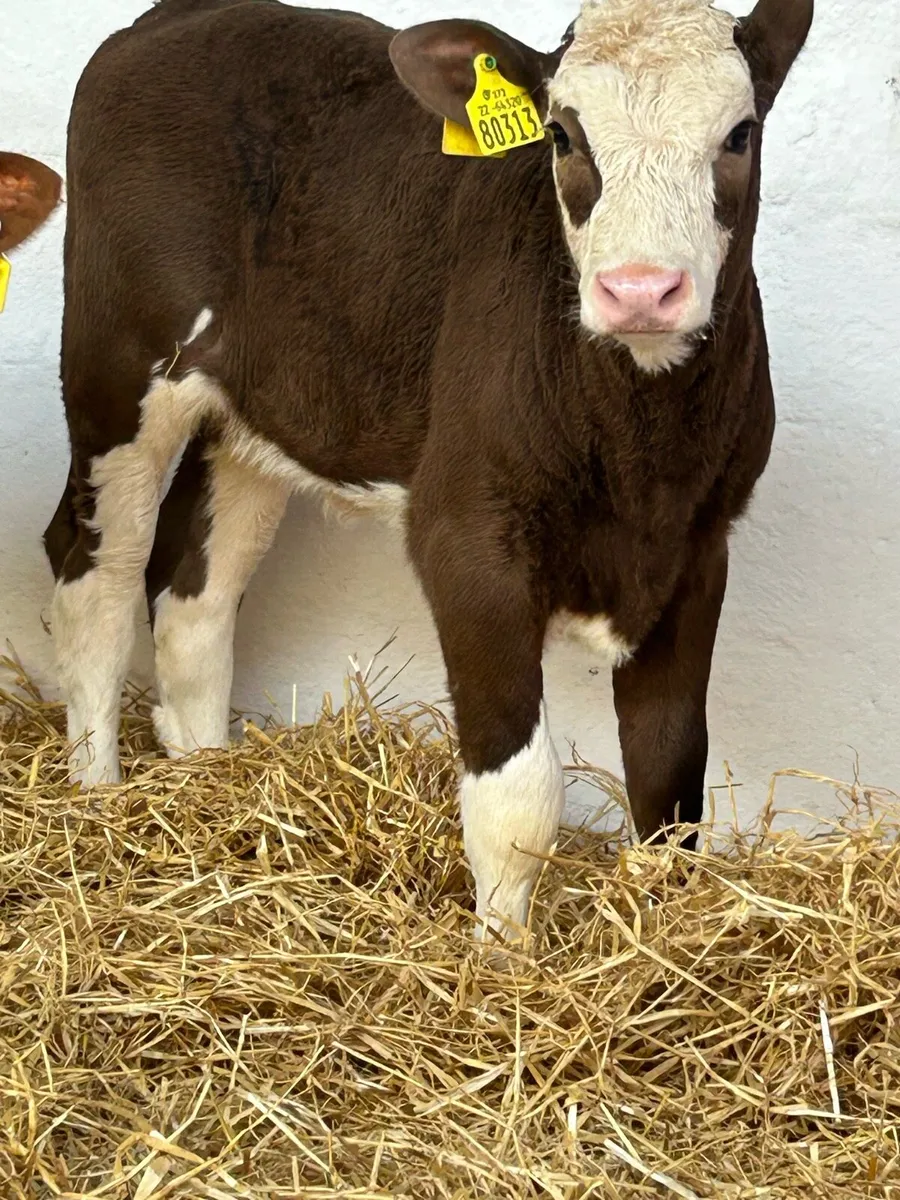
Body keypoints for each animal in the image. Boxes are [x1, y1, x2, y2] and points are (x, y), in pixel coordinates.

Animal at [43, 0, 814, 940]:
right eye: (561, 135)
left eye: (740, 134)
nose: (639, 290)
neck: (641, 460)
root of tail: (171, 18)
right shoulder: (467, 535)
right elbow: (518, 795)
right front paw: (503, 957)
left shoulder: (700, 546)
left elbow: (671, 773)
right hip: (116, 371)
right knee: (98, 578)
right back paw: (98, 796)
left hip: (257, 414)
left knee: (195, 595)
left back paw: (210, 779)